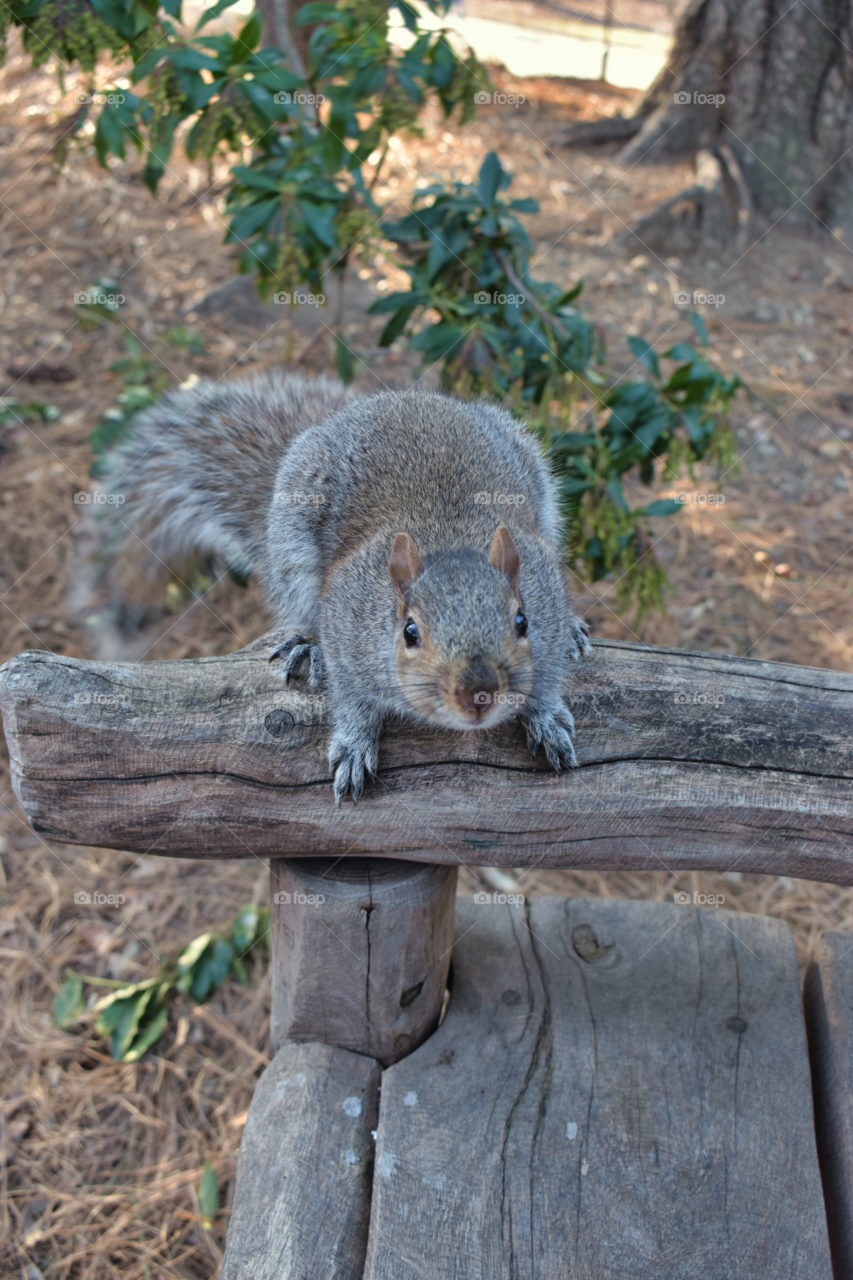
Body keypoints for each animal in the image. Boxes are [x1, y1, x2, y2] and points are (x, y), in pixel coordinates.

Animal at [99, 368, 589, 798]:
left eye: (523, 623)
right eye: (410, 632)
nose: (479, 695)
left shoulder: (544, 591)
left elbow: (545, 678)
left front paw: (547, 718)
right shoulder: (347, 622)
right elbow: (351, 697)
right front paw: (354, 744)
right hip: (293, 541)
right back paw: (308, 646)